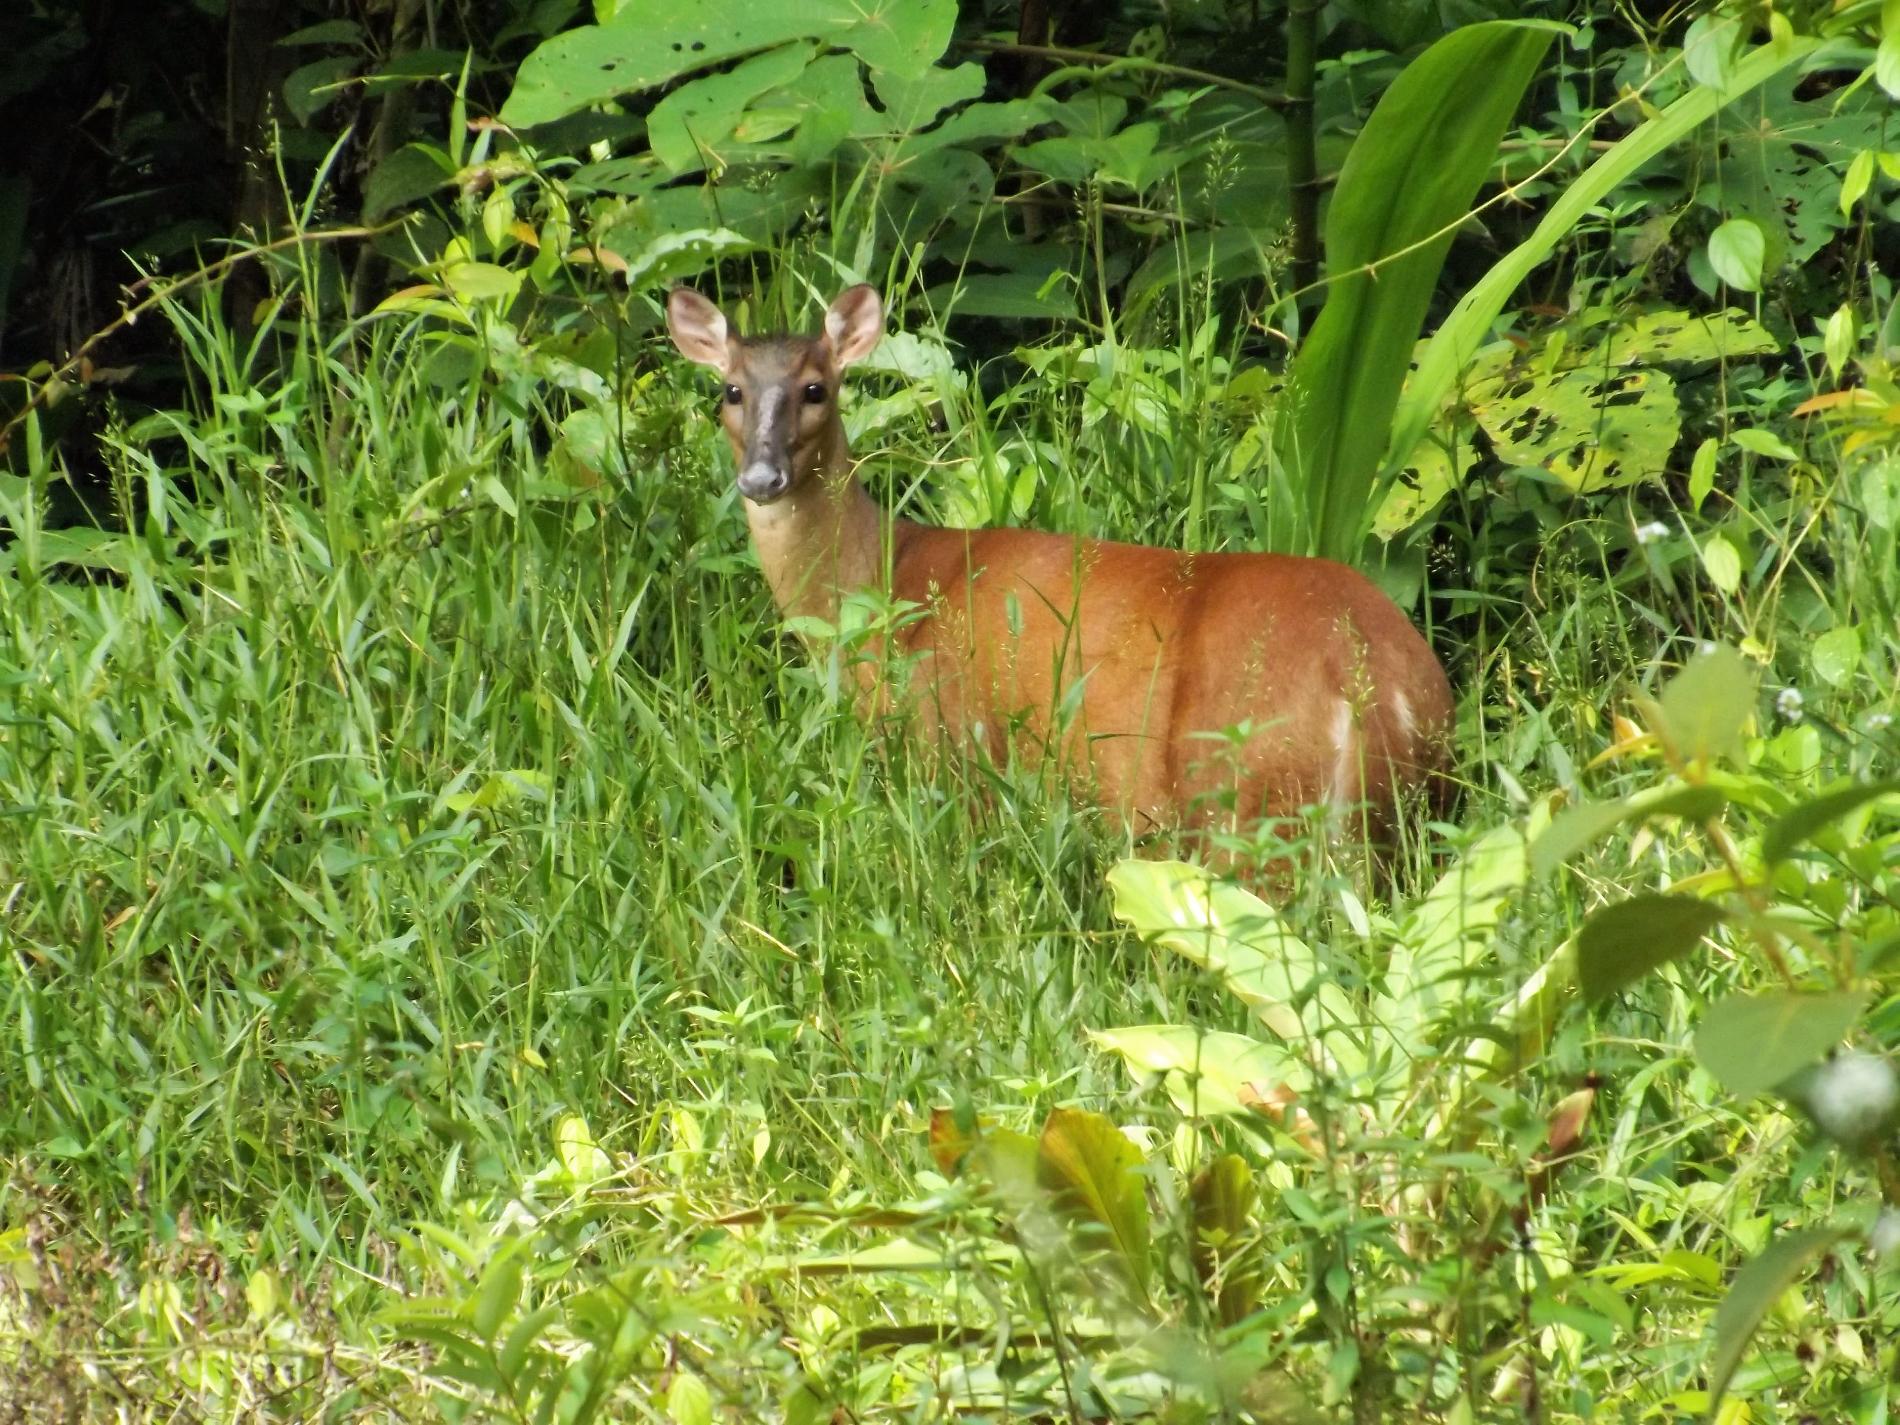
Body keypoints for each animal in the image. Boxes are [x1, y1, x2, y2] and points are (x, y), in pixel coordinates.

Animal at [668, 285, 1451, 855]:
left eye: (815, 389)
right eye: (731, 391)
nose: (762, 477)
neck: (883, 583)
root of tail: (1372, 681)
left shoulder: (948, 740)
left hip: (1244, 794)